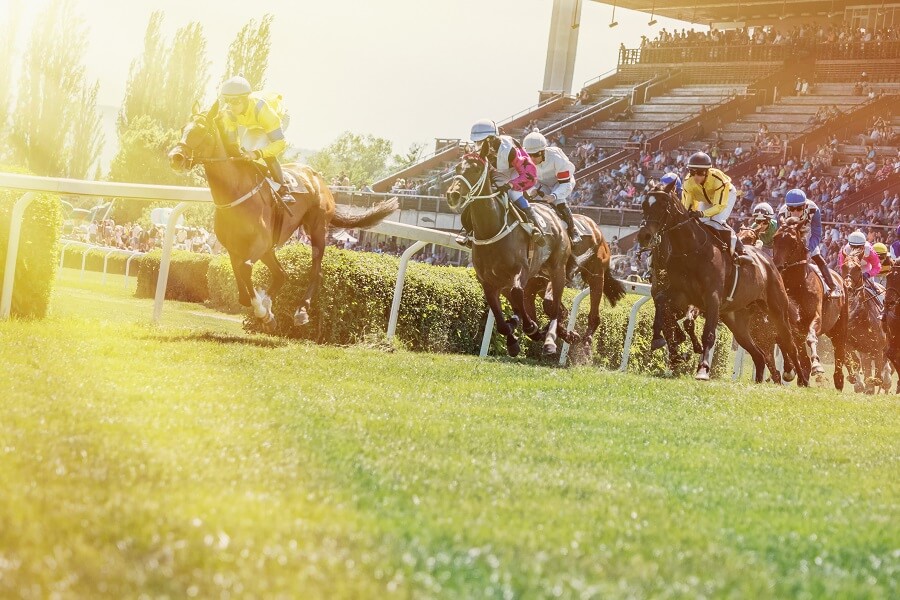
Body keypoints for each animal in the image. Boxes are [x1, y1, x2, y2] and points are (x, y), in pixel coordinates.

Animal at [169, 103, 394, 328]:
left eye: (202, 130)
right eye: (182, 128)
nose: (175, 157)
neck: (236, 191)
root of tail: (318, 178)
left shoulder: (259, 242)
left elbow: (245, 269)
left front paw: (262, 309)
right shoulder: (234, 247)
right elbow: (241, 283)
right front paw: (264, 310)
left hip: (316, 229)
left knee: (316, 271)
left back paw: (301, 310)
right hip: (270, 248)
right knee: (281, 274)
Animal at [632, 183, 808, 386]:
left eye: (662, 205)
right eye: (644, 204)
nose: (644, 236)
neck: (690, 251)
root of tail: (768, 262)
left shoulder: (712, 298)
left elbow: (708, 333)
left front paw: (702, 369)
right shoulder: (678, 296)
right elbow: (664, 310)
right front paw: (665, 345)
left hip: (777, 311)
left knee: (789, 343)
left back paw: (801, 378)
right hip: (736, 321)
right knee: (759, 355)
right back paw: (759, 380)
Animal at [772, 220, 852, 390]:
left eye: (793, 241)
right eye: (775, 238)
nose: (778, 266)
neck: (797, 284)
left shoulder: (816, 318)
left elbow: (811, 337)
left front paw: (817, 365)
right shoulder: (790, 323)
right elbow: (784, 341)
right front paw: (790, 371)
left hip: (839, 329)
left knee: (839, 353)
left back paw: (838, 380)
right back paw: (803, 380)